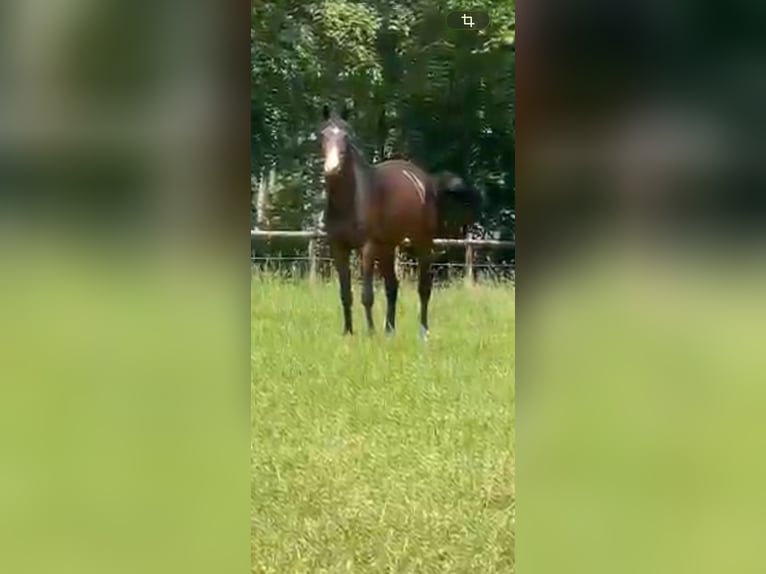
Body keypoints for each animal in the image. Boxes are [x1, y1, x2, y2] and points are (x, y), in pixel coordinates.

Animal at [317, 103, 482, 338]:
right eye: (323, 134)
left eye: (346, 136)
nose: (332, 168)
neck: (351, 201)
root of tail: (426, 180)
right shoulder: (338, 247)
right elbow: (345, 294)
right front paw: (348, 332)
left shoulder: (367, 248)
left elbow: (366, 295)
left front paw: (370, 332)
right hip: (387, 248)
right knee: (392, 287)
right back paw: (389, 330)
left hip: (421, 243)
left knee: (424, 287)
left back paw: (423, 332)